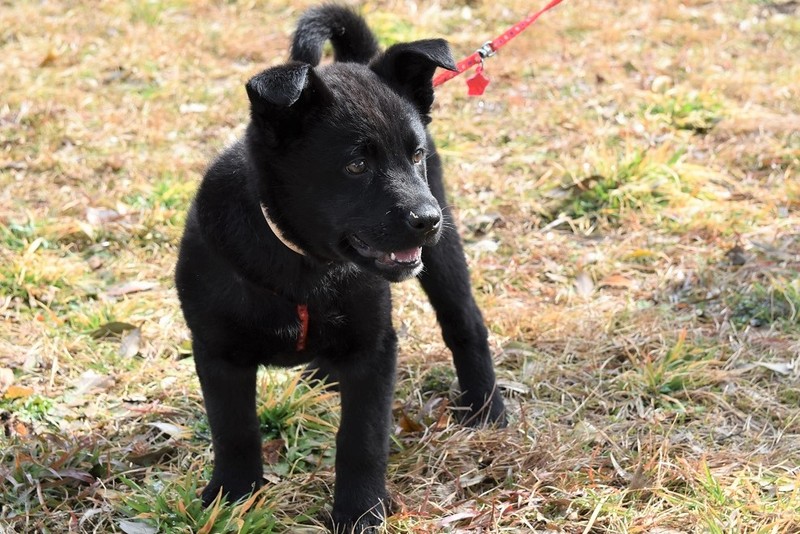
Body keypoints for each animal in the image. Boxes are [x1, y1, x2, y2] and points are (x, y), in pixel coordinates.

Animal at [175, 5, 506, 532]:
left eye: (414, 155)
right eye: (355, 166)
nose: (427, 219)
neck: (305, 261)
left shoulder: (374, 349)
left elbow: (361, 439)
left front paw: (360, 511)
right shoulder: (217, 350)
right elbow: (234, 429)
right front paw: (232, 497)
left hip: (443, 256)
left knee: (464, 322)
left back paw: (485, 407)